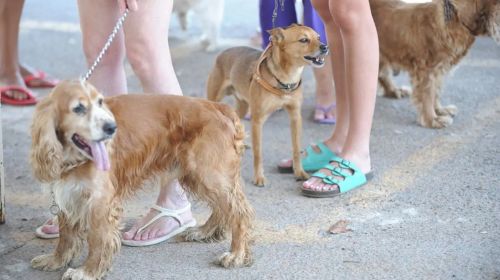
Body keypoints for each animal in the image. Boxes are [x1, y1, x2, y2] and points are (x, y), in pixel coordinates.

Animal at [29, 79, 254, 280]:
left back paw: (236, 254)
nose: (112, 127)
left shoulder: (100, 201)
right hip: (199, 175)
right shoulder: (67, 194)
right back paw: (204, 232)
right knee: (223, 208)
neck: (73, 158)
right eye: (78, 108)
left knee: (239, 212)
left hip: (208, 173)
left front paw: (88, 271)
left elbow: (97, 240)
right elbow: (65, 236)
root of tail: (218, 106)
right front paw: (55, 260)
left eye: (100, 102)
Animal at [206, 24, 328, 186]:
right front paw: (259, 177)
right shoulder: (257, 121)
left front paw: (299, 172)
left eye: (318, 37)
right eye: (303, 40)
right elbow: (258, 153)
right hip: (215, 99)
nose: (325, 47)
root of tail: (223, 52)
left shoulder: (295, 117)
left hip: (243, 106)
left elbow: (296, 149)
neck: (286, 79)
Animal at [372, 0, 500, 129]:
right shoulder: (425, 70)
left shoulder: (439, 70)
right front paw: (432, 119)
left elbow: (436, 92)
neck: (454, 20)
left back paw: (394, 90)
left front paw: (440, 110)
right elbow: (427, 95)